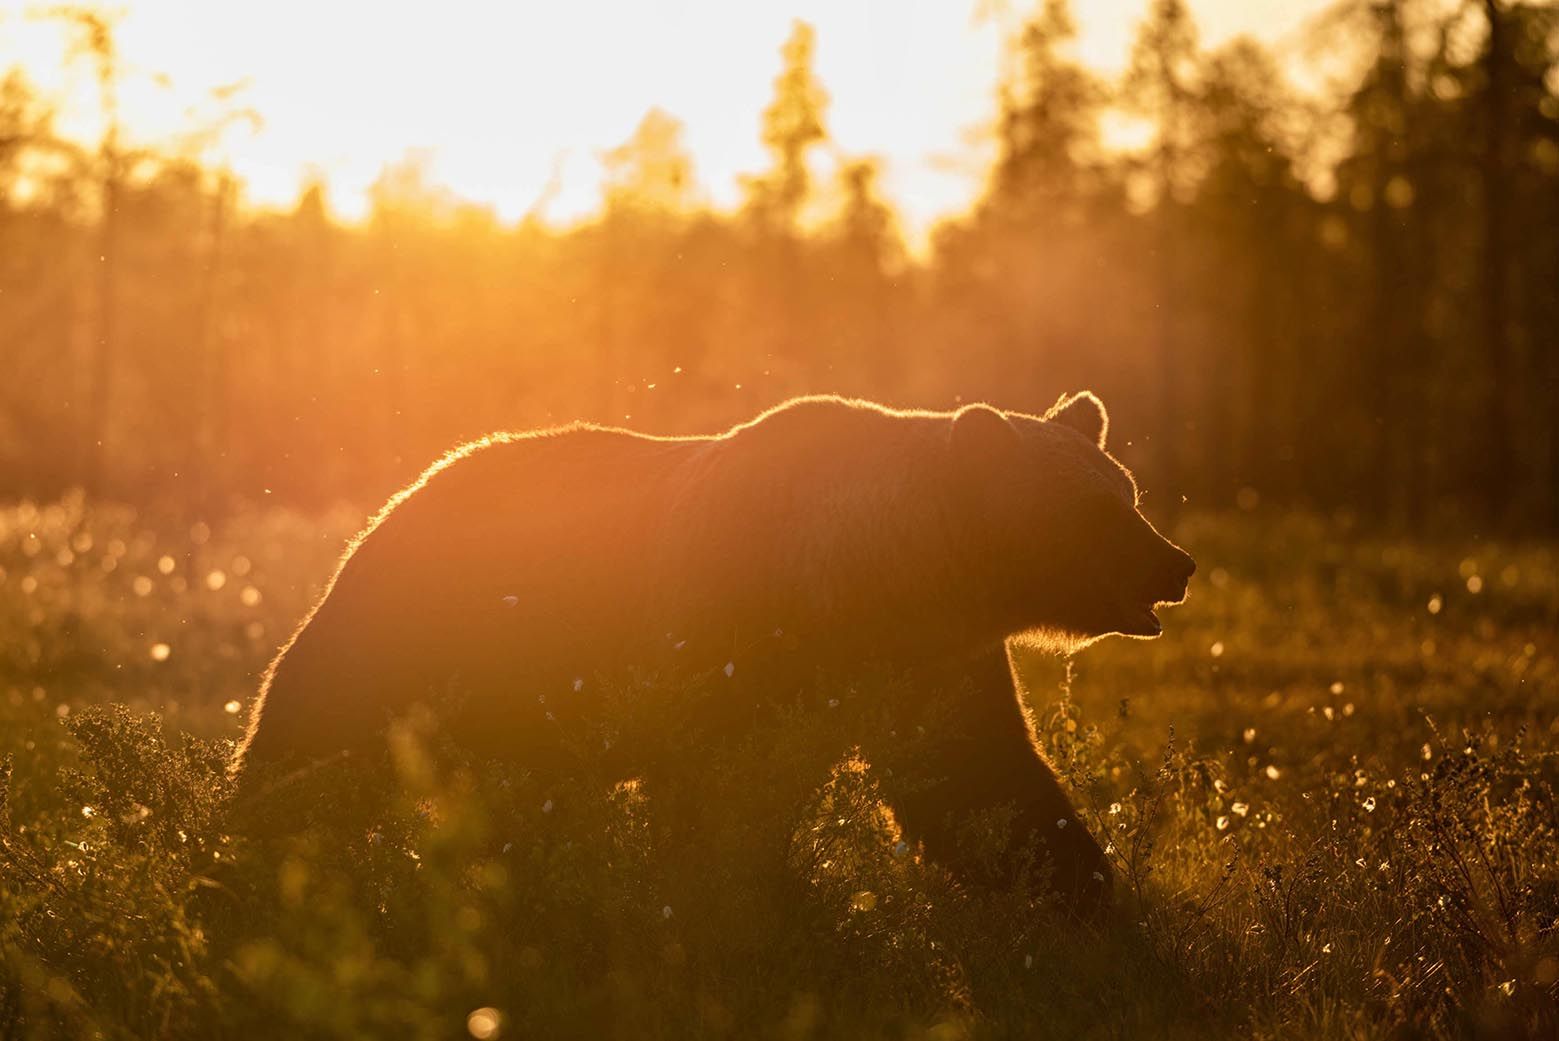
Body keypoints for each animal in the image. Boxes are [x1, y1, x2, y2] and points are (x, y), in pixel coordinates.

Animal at [230, 393, 1194, 910]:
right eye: (1096, 509)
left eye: (1128, 490)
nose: (1175, 563)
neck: (875, 575)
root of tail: (398, 493)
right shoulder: (739, 636)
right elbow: (718, 795)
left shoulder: (923, 658)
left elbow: (977, 774)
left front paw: (1084, 890)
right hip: (410, 628)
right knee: (313, 741)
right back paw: (252, 847)